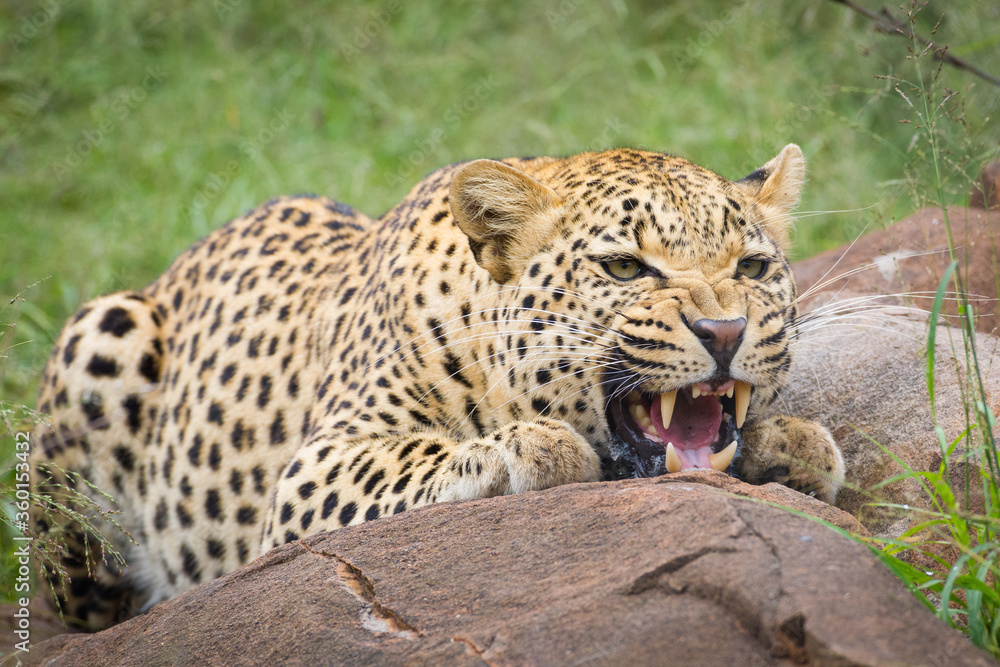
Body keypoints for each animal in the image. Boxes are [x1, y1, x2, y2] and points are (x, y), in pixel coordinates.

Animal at [29, 144, 844, 630]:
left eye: (752, 267)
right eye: (624, 268)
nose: (725, 331)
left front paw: (794, 443)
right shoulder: (312, 469)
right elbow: (416, 457)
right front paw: (533, 447)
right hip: (102, 335)